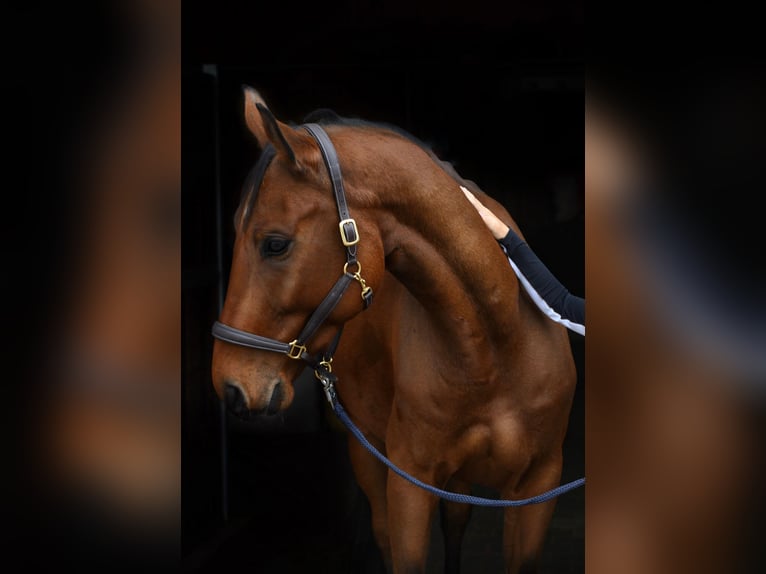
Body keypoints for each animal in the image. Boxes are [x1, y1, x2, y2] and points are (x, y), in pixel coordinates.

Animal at [210, 86, 577, 573]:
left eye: (275, 244)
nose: (229, 386)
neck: (497, 347)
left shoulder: (537, 490)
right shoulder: (409, 485)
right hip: (367, 453)